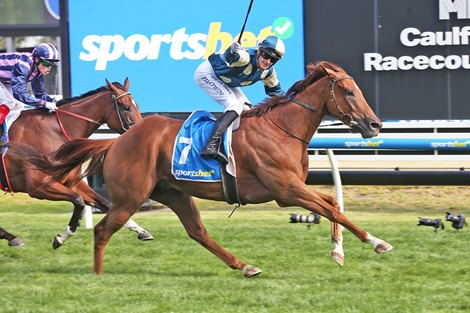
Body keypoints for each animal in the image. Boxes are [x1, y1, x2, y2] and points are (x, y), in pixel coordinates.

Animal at [2, 78, 152, 249]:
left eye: (137, 105)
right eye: (126, 107)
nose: (143, 132)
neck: (54, 132)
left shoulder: (72, 183)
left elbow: (105, 203)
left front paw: (141, 230)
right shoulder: (39, 186)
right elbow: (79, 201)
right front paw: (61, 238)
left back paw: (11, 237)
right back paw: (11, 237)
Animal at [18, 61, 392, 276]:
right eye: (348, 91)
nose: (375, 124)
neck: (283, 128)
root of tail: (118, 141)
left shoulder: (291, 191)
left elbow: (332, 205)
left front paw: (338, 251)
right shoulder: (286, 190)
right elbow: (335, 210)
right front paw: (376, 242)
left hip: (173, 193)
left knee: (197, 232)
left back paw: (245, 266)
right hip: (130, 198)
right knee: (102, 231)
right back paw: (97, 277)